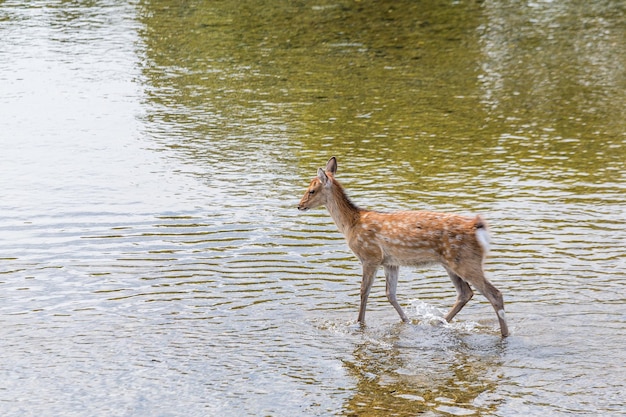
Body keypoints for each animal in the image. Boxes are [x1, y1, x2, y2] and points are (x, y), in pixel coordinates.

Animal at [296, 158, 508, 336]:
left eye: (312, 190)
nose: (299, 205)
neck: (352, 224)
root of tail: (478, 228)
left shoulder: (370, 256)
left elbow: (364, 292)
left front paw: (359, 324)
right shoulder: (391, 262)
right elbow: (390, 294)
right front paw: (406, 321)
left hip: (466, 261)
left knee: (494, 294)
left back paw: (504, 334)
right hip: (451, 263)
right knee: (465, 293)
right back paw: (438, 323)